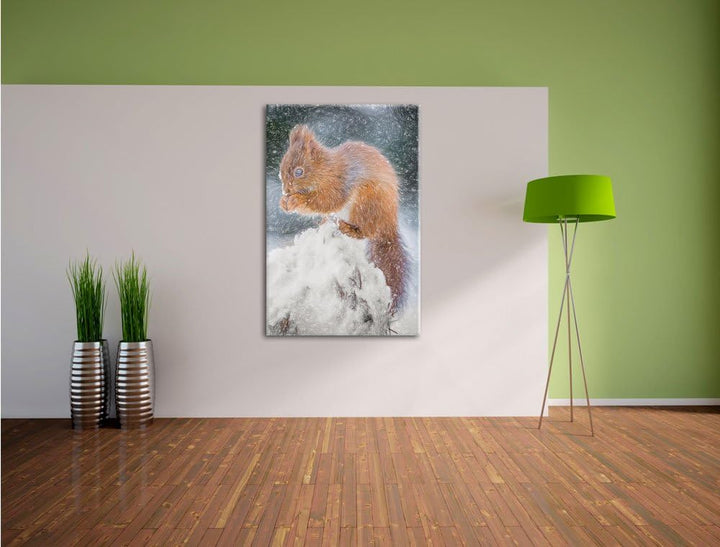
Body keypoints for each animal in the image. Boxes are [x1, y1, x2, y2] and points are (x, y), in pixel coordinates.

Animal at [279, 124, 407, 312]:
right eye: (281, 169)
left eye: (299, 171)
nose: (286, 190)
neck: (326, 169)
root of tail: (388, 224)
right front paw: (284, 202)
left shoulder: (340, 183)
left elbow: (326, 201)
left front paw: (296, 200)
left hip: (367, 203)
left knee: (367, 232)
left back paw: (348, 229)